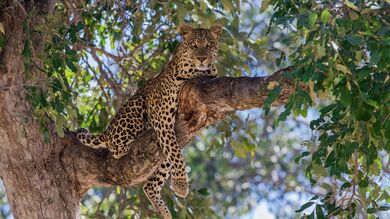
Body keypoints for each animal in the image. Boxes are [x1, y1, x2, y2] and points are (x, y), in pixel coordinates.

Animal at [76, 24, 222, 219]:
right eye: (193, 45)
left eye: (209, 44)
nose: (202, 58)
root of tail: (107, 130)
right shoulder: (163, 120)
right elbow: (176, 155)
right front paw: (181, 185)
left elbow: (175, 154)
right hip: (136, 108)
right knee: (116, 148)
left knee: (150, 184)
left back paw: (164, 212)